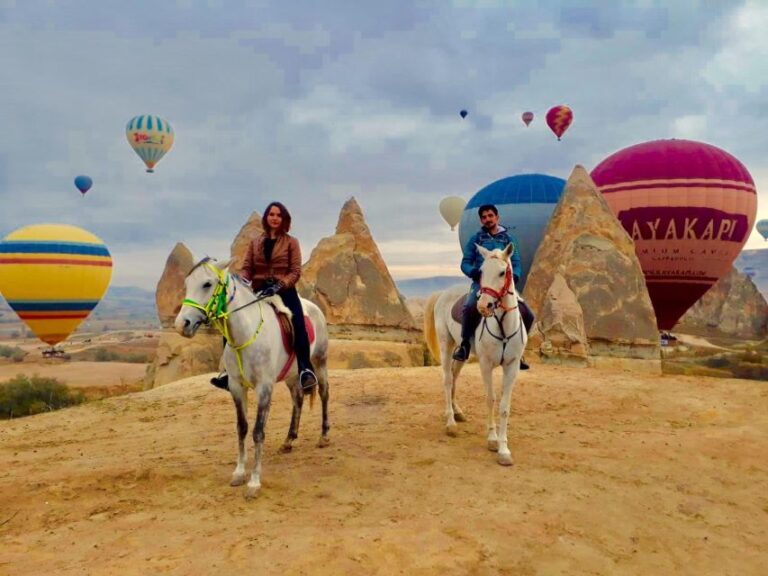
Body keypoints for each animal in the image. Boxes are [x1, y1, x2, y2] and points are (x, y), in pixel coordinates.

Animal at [174, 258, 330, 498]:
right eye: (187, 284)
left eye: (207, 284)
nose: (182, 324)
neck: (245, 334)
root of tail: (314, 308)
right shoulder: (237, 387)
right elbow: (242, 428)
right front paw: (239, 473)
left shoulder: (264, 388)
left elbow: (258, 432)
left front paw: (254, 482)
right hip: (292, 374)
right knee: (298, 399)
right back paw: (289, 440)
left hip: (320, 362)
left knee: (323, 393)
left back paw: (323, 435)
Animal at [424, 242, 524, 464]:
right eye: (481, 272)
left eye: (502, 272)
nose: (483, 306)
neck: (503, 326)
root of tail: (443, 293)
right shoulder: (486, 365)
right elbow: (490, 399)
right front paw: (492, 440)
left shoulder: (512, 366)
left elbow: (505, 406)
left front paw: (504, 450)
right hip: (446, 344)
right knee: (447, 379)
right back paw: (450, 422)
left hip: (462, 352)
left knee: (454, 376)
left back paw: (457, 412)